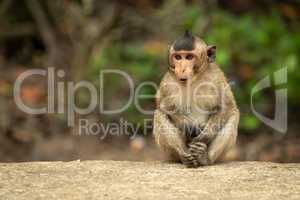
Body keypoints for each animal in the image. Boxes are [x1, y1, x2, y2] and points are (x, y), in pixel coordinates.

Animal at [152, 30, 239, 167]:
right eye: (178, 57)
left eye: (189, 57)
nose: (182, 69)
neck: (194, 80)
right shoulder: (167, 83)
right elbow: (164, 107)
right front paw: (188, 126)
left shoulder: (216, 77)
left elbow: (227, 107)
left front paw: (204, 137)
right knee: (159, 114)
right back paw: (184, 157)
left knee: (233, 115)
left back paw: (204, 158)